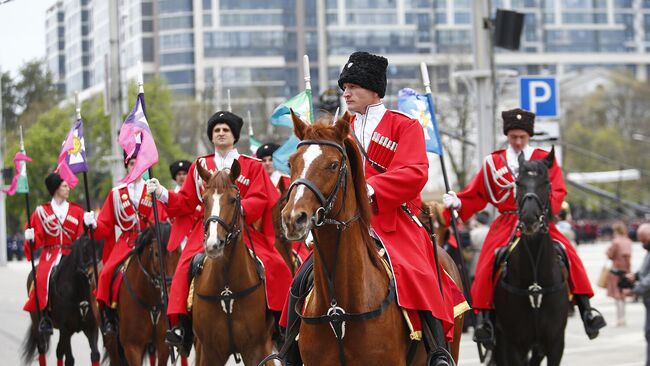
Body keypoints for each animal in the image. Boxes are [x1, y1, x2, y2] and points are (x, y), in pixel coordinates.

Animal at [21, 234, 102, 366]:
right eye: (85, 248)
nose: (96, 275)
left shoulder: (91, 328)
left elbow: (95, 355)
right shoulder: (65, 330)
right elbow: (70, 360)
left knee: (58, 351)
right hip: (38, 324)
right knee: (42, 348)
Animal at [104, 222, 181, 366]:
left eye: (179, 251)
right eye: (156, 254)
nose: (171, 289)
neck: (151, 301)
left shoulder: (163, 345)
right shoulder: (132, 347)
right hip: (113, 345)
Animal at [191, 162, 274, 366]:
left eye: (232, 200)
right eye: (204, 200)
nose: (214, 244)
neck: (227, 289)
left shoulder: (255, 349)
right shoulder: (210, 352)